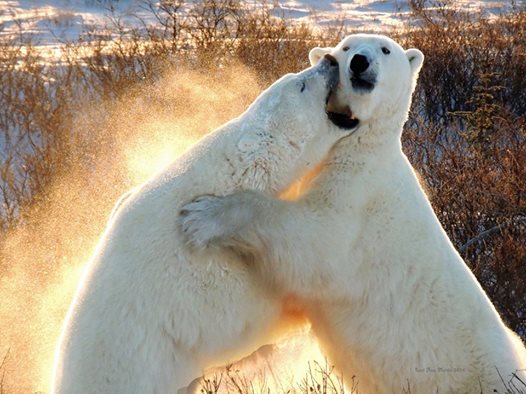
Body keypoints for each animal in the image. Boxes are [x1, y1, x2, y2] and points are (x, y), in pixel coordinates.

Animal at [182, 34, 526, 394]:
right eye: (347, 46)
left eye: (386, 50)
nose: (360, 61)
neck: (361, 147)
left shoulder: (360, 201)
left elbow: (315, 243)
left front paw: (202, 216)